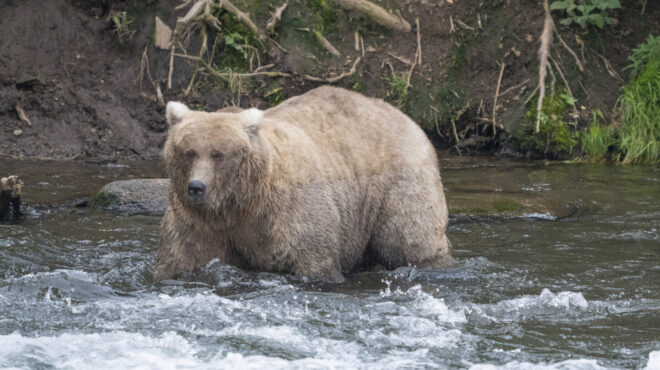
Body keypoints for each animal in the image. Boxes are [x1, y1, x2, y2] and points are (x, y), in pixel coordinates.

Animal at [153, 85, 454, 282]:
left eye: (219, 154)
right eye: (188, 151)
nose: (196, 187)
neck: (242, 203)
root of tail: (405, 117)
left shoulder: (290, 213)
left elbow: (314, 259)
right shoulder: (198, 222)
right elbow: (181, 257)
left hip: (399, 183)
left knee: (410, 239)